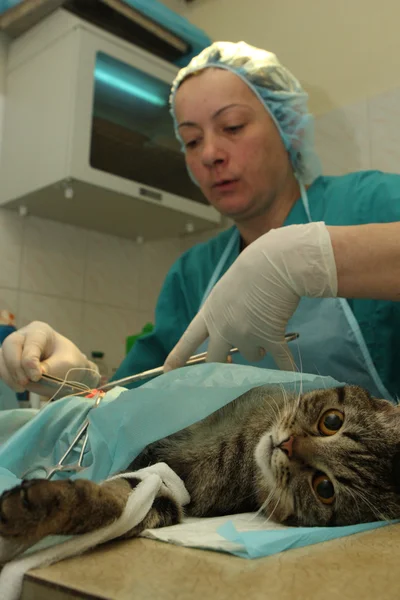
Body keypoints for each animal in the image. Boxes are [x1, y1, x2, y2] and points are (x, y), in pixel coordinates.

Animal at [0, 382, 400, 548]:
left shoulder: (162, 487)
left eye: (325, 488)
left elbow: (115, 502)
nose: (286, 445)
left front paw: (37, 509)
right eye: (332, 421)